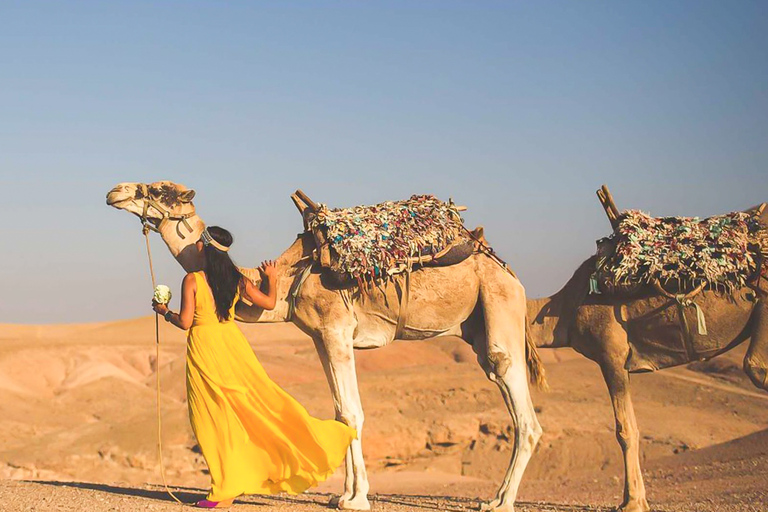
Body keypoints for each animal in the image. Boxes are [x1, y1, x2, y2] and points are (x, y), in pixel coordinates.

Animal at [106, 181, 544, 512]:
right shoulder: (320, 337)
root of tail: (510, 272)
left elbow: (352, 412)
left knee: (521, 406)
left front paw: (357, 500)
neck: (288, 278)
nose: (116, 191)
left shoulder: (336, 330)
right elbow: (339, 412)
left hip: (499, 305)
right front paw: (342, 495)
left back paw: (500, 503)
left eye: (160, 190)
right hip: (478, 325)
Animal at [528, 202, 768, 510]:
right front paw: (637, 498)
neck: (564, 309)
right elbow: (631, 426)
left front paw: (632, 502)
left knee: (756, 367)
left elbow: (625, 430)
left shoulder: (611, 356)